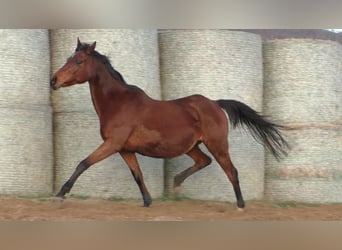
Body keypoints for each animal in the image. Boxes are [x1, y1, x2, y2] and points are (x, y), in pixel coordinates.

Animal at [49, 37, 288, 209]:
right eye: (67, 59)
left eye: (78, 61)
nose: (53, 80)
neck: (118, 104)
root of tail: (215, 103)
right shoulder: (125, 149)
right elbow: (137, 175)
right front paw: (147, 202)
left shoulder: (113, 144)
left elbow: (83, 163)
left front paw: (60, 195)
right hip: (192, 146)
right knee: (204, 161)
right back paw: (176, 183)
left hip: (217, 144)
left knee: (231, 170)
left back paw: (240, 204)